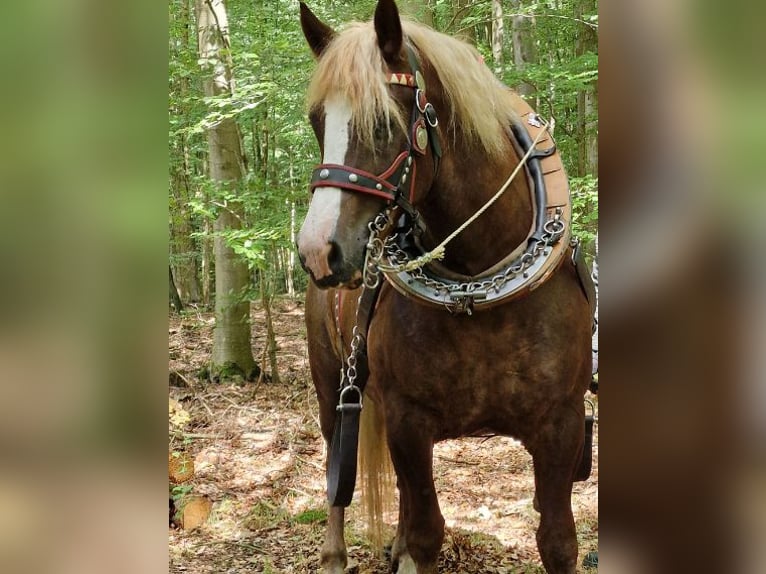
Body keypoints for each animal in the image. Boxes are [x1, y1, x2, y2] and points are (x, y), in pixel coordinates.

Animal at [294, 2, 592, 572]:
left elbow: (559, 542)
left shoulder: (561, 425)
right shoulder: (409, 421)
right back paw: (334, 554)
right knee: (337, 458)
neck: (477, 290)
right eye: (317, 121)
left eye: (383, 122)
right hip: (331, 384)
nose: (318, 251)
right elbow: (427, 532)